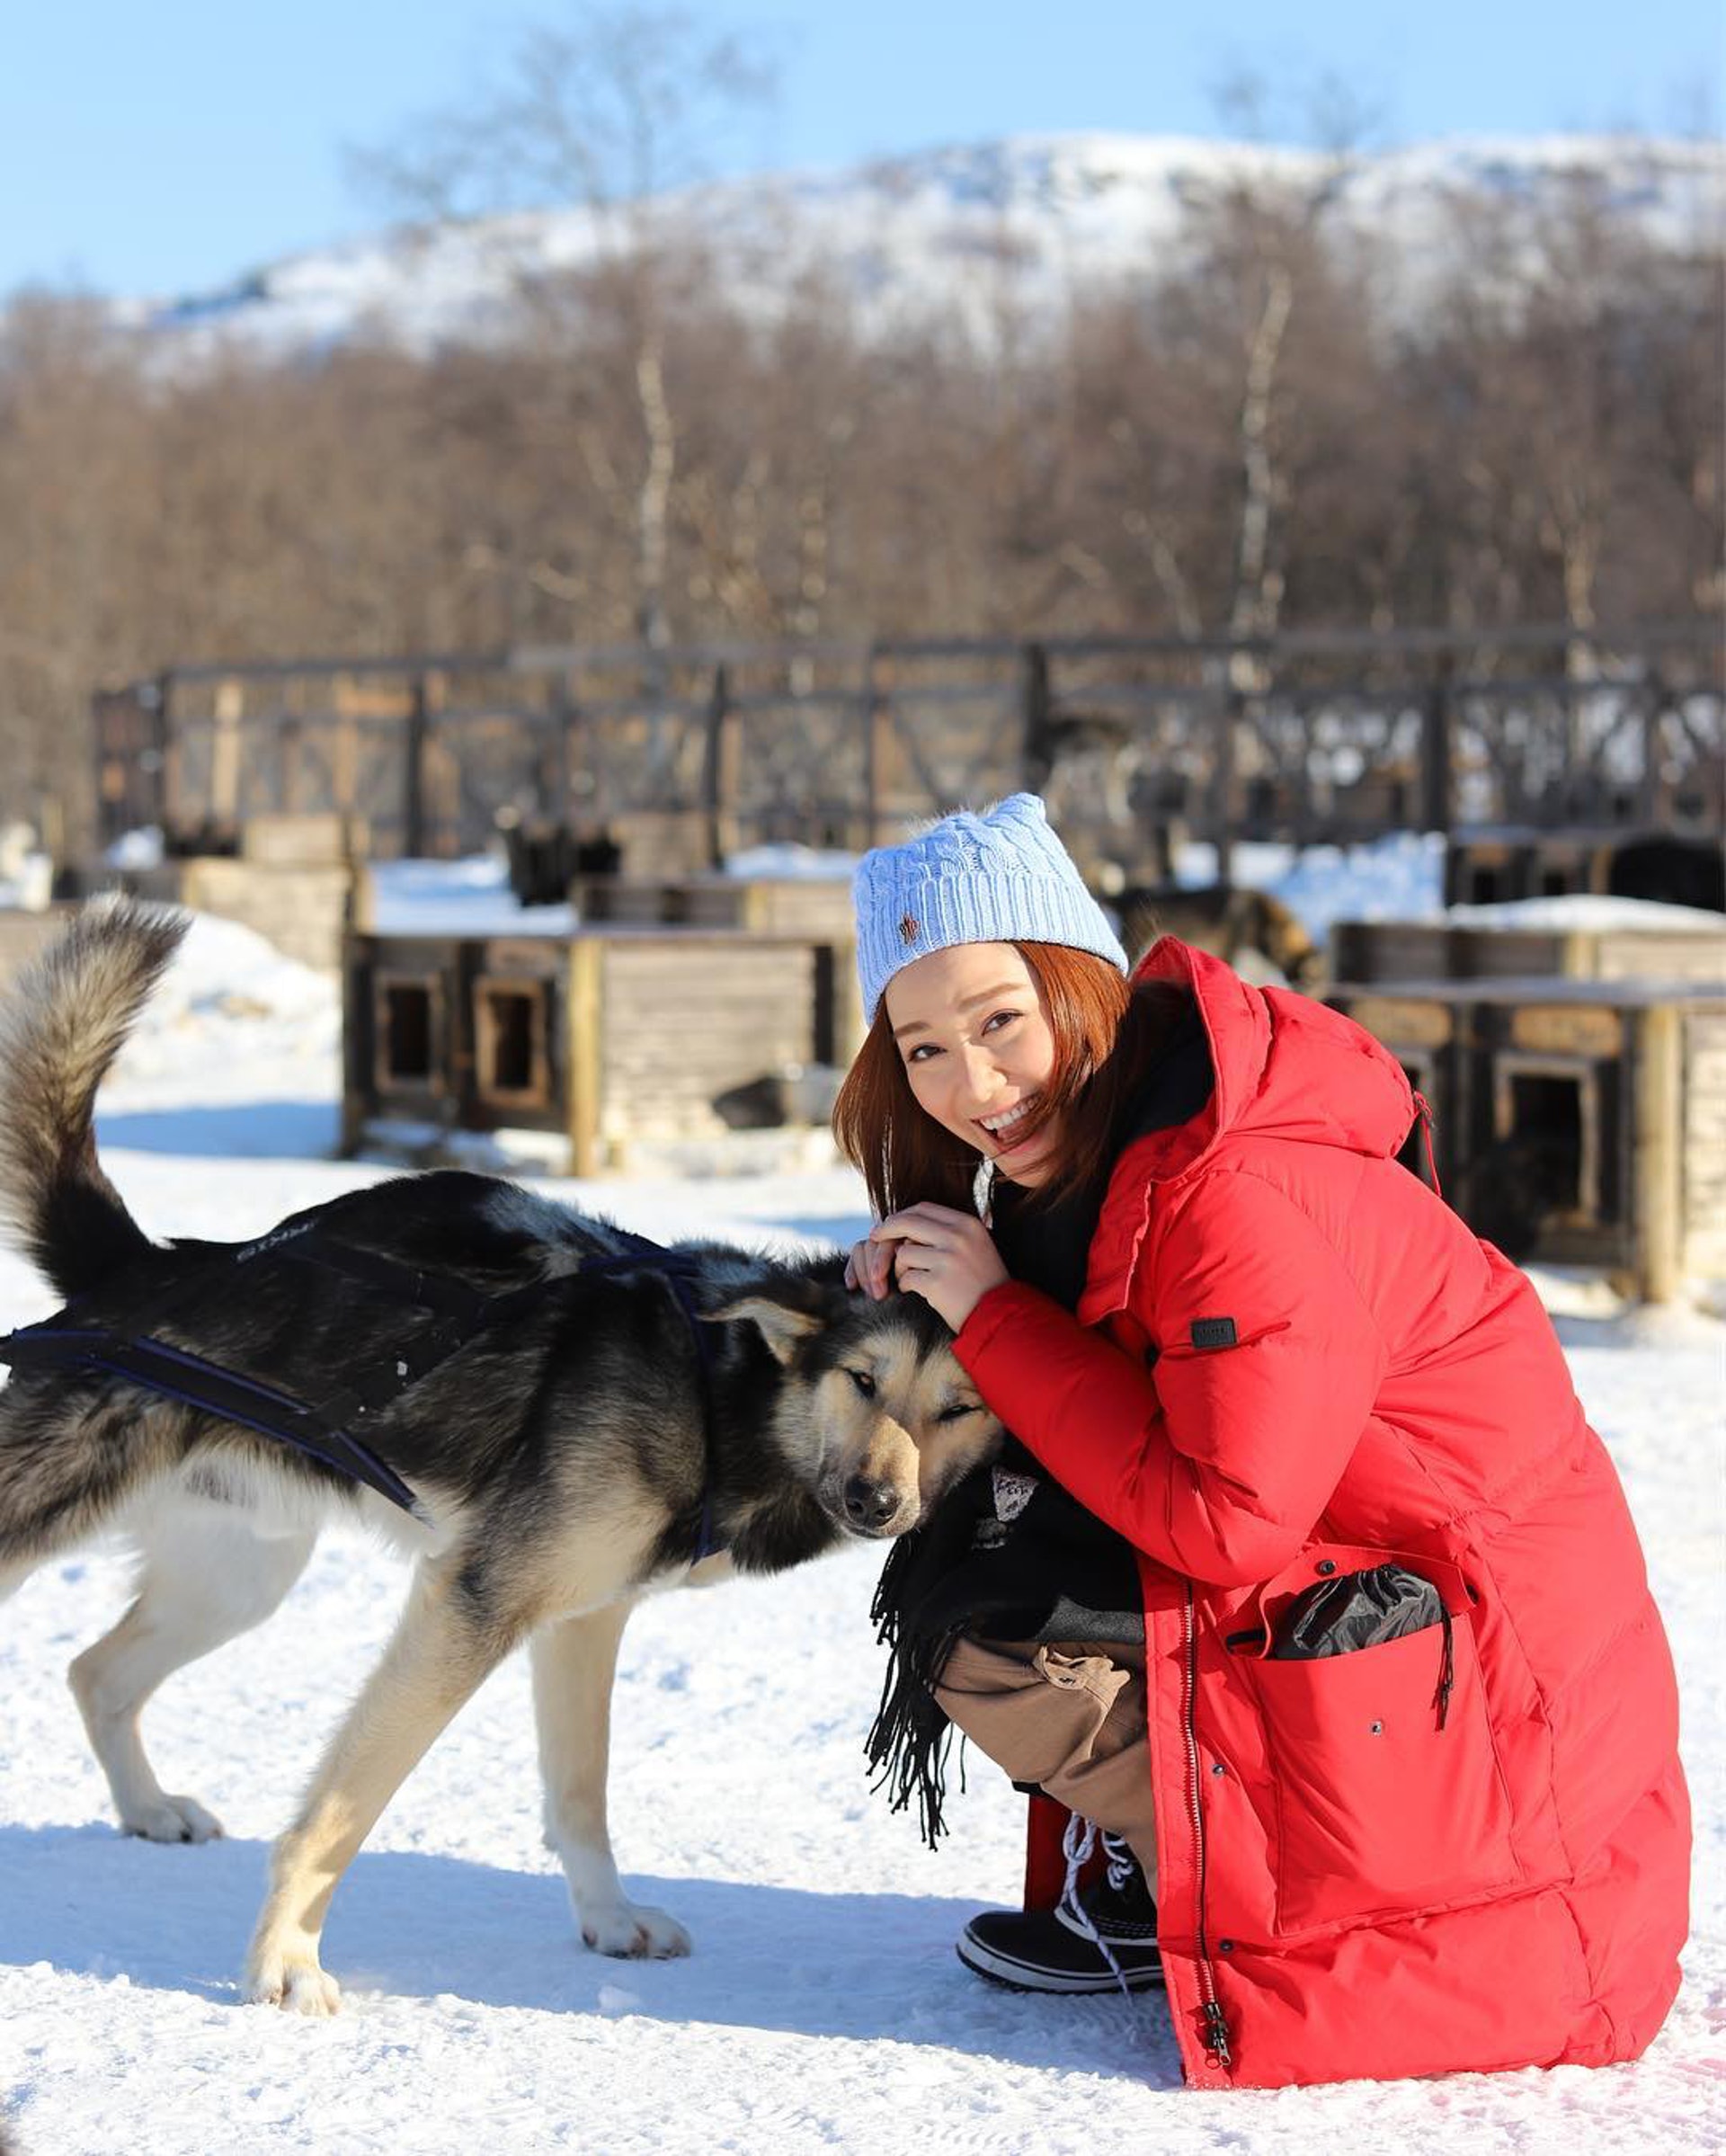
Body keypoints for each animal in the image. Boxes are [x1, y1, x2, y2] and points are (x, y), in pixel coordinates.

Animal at [0, 901, 995, 2009]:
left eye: (961, 1406)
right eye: (862, 1379)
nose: (876, 1500)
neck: (717, 1391)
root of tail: (145, 1267)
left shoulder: (581, 1619)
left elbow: (581, 1793)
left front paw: (607, 1917)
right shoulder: (472, 1605)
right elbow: (338, 1814)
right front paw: (285, 1962)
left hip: (239, 1582)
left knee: (96, 1672)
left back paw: (147, 1807)